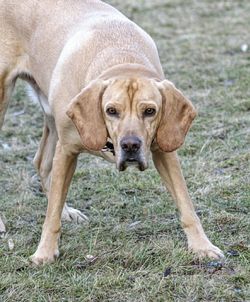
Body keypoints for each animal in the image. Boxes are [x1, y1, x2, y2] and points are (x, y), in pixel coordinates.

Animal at [0, 0, 224, 264]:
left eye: (150, 111)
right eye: (111, 111)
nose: (130, 146)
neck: (120, 55)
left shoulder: (164, 150)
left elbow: (186, 203)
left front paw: (201, 245)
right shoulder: (67, 151)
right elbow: (51, 213)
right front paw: (44, 251)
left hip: (51, 115)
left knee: (41, 163)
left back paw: (67, 211)